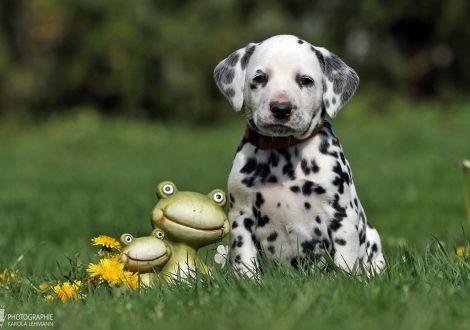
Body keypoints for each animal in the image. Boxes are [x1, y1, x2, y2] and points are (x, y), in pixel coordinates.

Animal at [214, 34, 386, 274]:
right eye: (259, 78)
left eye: (305, 80)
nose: (281, 109)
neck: (283, 153)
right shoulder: (241, 216)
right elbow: (244, 262)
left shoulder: (342, 216)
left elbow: (344, 259)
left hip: (372, 238)